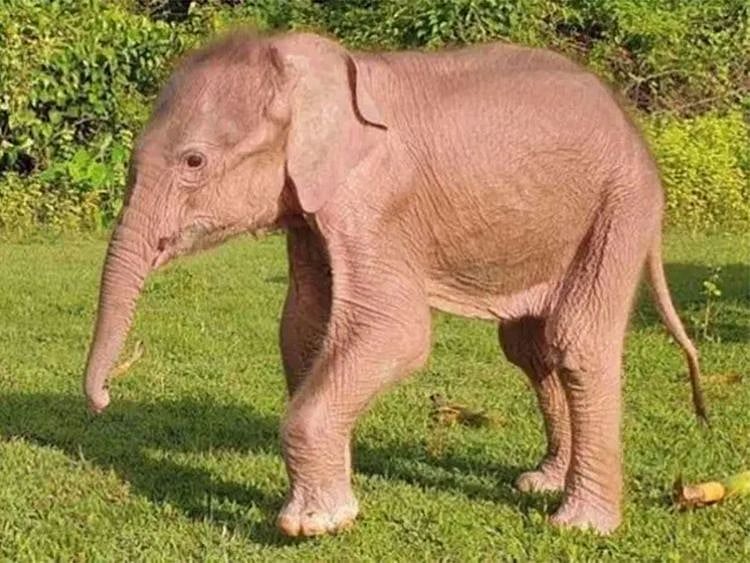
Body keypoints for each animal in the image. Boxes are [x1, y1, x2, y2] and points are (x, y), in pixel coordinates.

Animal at [83, 31, 707, 537]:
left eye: (194, 162)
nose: (105, 398)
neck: (311, 67)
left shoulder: (377, 201)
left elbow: (394, 332)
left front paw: (314, 524)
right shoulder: (314, 208)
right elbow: (303, 327)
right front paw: (331, 497)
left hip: (621, 204)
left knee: (577, 341)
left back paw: (581, 524)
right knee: (529, 346)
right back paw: (542, 482)